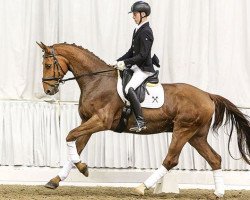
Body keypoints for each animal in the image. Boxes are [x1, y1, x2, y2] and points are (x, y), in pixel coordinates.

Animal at [36, 41, 250, 197]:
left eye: (48, 65)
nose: (48, 90)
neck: (97, 81)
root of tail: (207, 95)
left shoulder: (100, 121)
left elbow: (69, 136)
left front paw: (82, 168)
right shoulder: (87, 122)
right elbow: (75, 146)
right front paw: (56, 180)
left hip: (183, 130)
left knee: (171, 159)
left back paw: (141, 187)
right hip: (196, 135)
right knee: (214, 158)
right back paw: (219, 192)